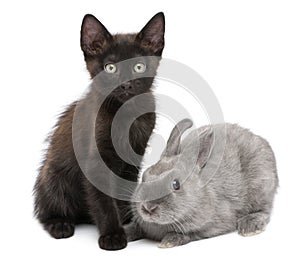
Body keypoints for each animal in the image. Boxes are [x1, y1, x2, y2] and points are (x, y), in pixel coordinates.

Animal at [34, 12, 165, 250]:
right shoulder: (95, 161)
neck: (125, 115)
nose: (126, 85)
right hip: (54, 177)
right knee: (46, 210)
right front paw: (112, 235)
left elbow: (124, 191)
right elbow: (103, 201)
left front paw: (131, 220)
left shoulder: (133, 159)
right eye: (110, 68)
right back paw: (60, 224)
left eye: (138, 67)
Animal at [125, 119, 278, 248]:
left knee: (264, 210)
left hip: (260, 185)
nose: (148, 207)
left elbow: (192, 234)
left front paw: (170, 241)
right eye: (144, 176)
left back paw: (250, 226)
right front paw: (124, 233)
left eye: (176, 184)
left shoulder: (215, 224)